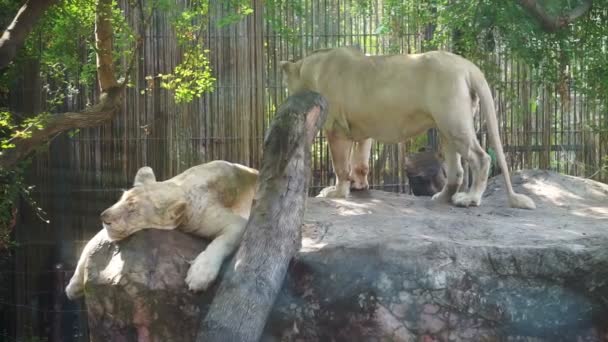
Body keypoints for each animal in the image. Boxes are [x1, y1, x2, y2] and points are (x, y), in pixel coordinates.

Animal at [64, 160, 258, 300]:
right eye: (121, 199)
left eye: (133, 210)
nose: (104, 217)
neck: (181, 186)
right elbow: (88, 245)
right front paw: (73, 287)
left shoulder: (234, 221)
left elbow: (222, 242)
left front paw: (199, 276)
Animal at [280, 47, 532, 210]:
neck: (312, 68)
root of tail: (469, 66)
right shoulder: (363, 129)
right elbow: (360, 163)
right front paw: (360, 187)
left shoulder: (336, 128)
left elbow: (341, 166)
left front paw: (336, 193)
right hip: (447, 127)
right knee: (457, 171)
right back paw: (441, 198)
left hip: (454, 122)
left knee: (481, 158)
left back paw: (469, 199)